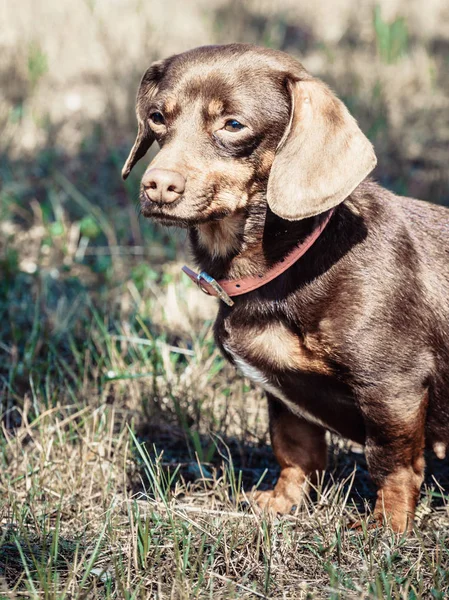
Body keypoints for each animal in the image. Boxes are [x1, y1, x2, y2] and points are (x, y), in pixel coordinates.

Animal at [121, 45, 448, 536]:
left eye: (233, 124)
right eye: (157, 117)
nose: (157, 185)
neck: (285, 266)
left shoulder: (393, 388)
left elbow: (391, 464)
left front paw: (387, 527)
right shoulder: (282, 395)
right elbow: (295, 451)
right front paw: (282, 504)